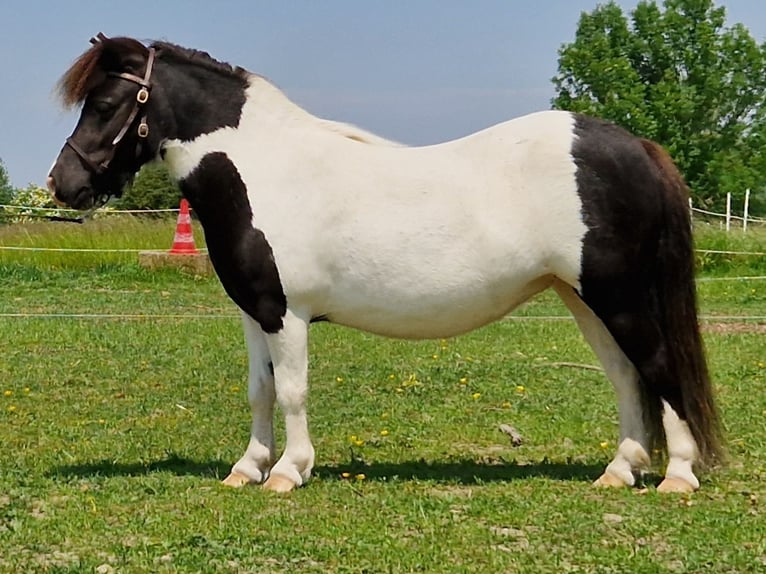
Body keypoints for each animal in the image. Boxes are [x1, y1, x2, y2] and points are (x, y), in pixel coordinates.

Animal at [45, 35, 724, 496]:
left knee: (658, 367)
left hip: (619, 297)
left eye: (106, 102)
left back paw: (678, 475)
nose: (62, 185)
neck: (264, 170)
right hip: (584, 298)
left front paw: (288, 472)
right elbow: (260, 390)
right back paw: (620, 470)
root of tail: (635, 146)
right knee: (626, 375)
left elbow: (292, 391)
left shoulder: (286, 315)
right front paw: (247, 468)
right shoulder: (255, 313)